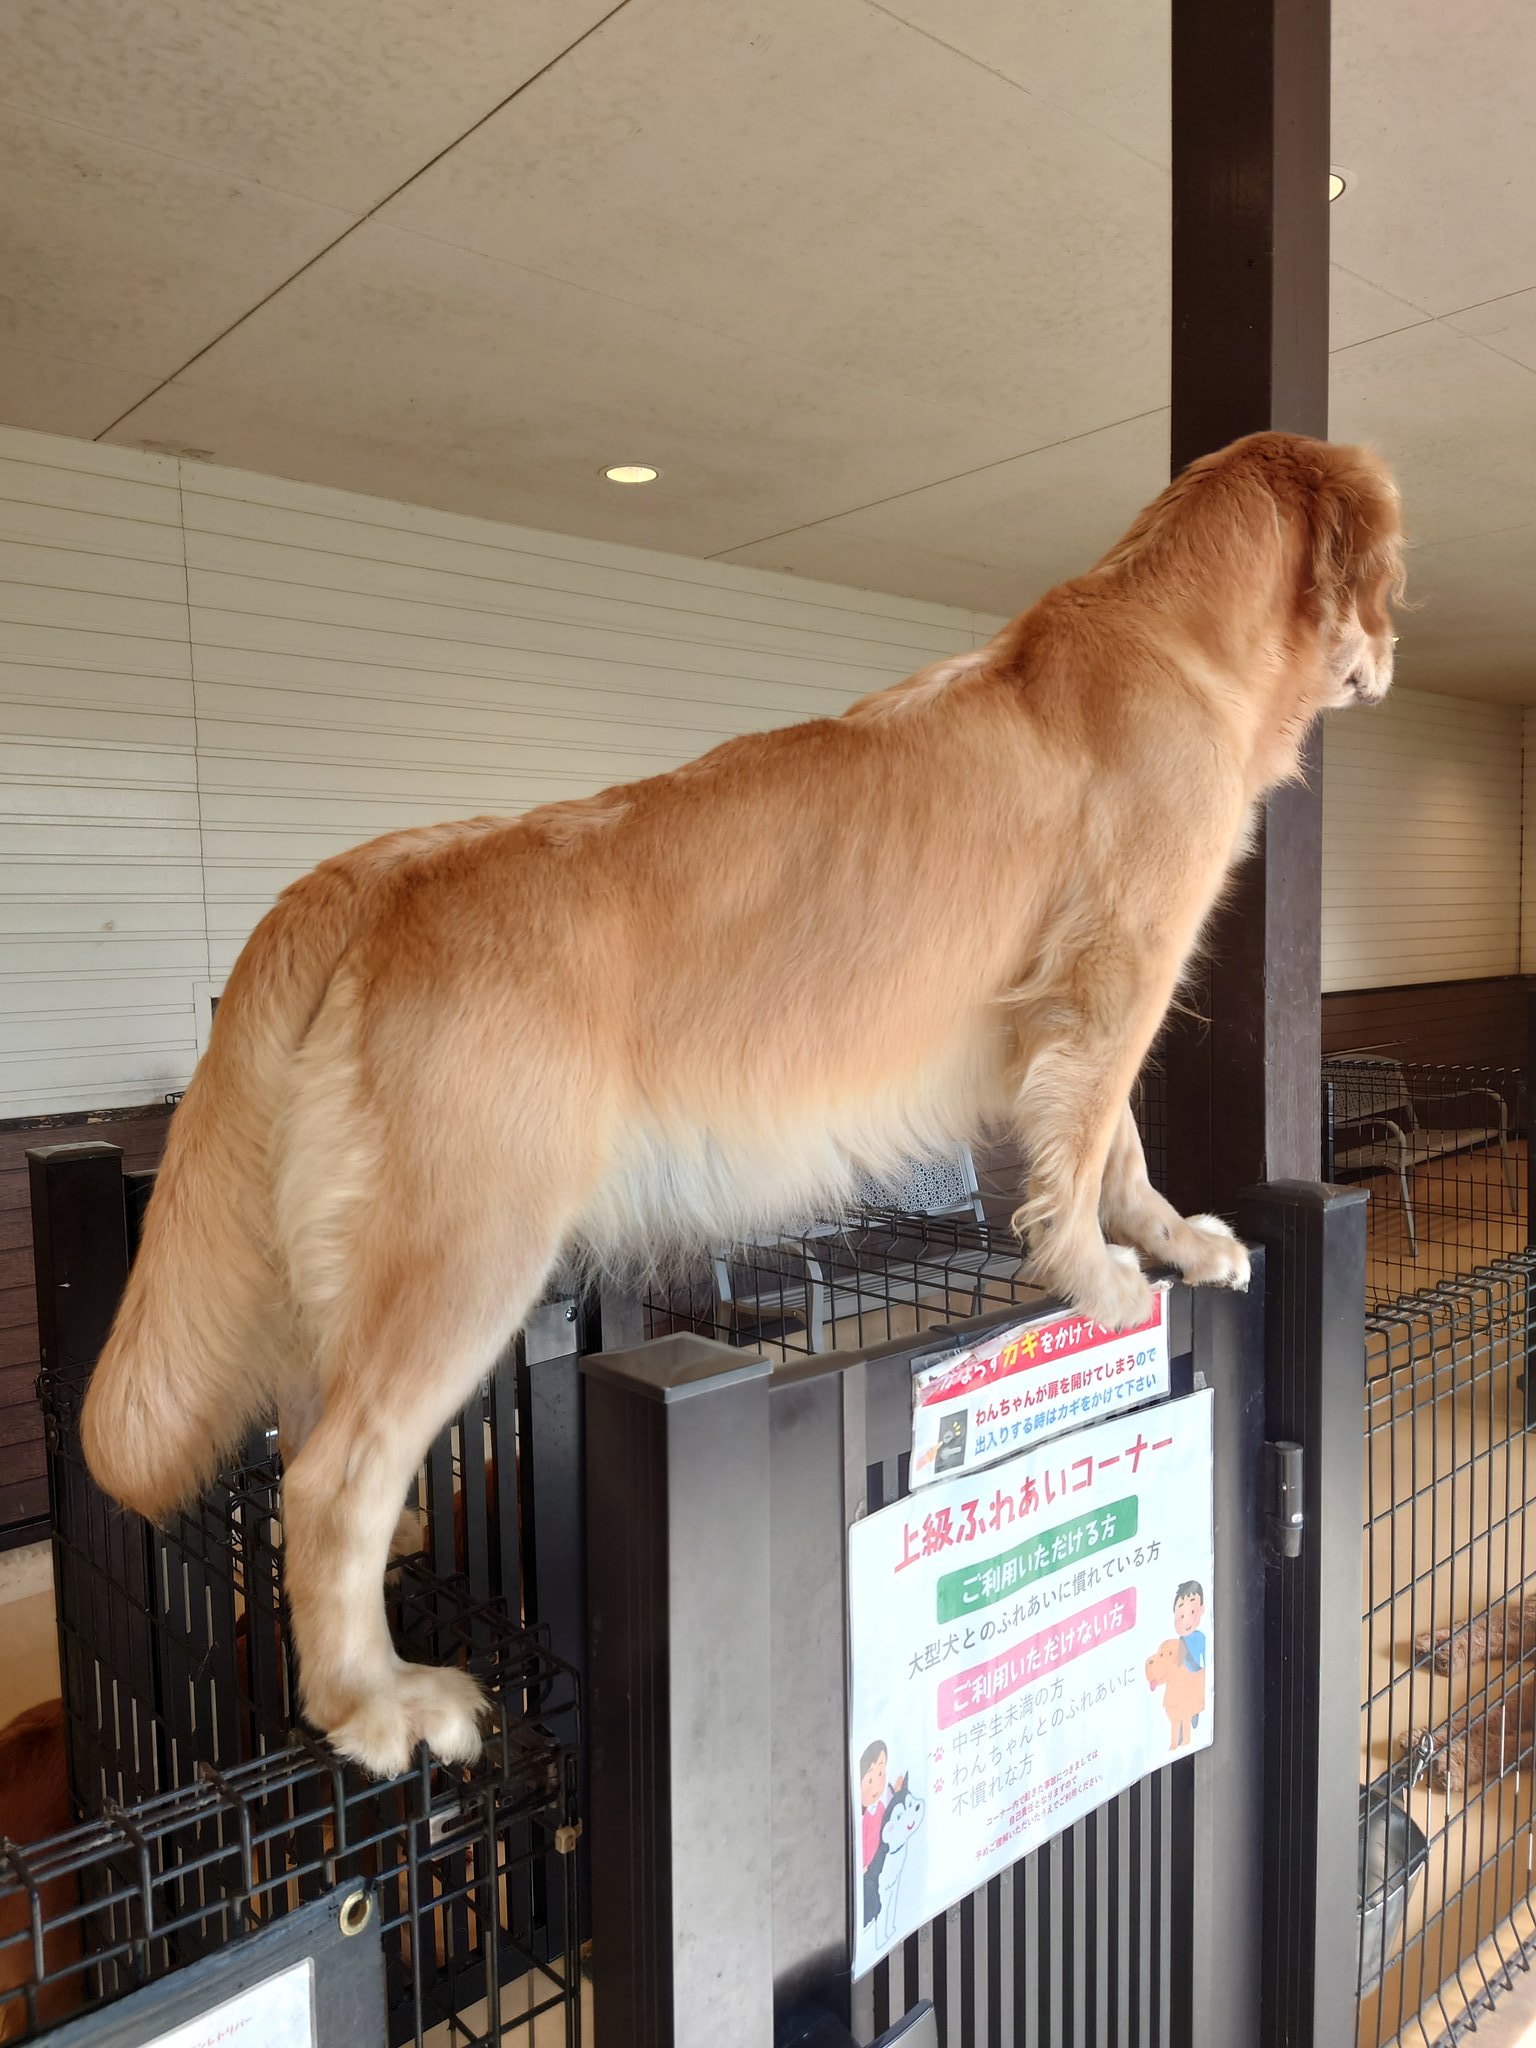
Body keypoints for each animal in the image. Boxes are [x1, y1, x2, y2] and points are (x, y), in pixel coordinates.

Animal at [80, 430, 1403, 1776]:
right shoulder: (1116, 967)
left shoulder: (1076, 1000)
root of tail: (379, 870)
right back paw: (377, 1698)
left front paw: (1173, 1234)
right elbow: (1085, 1138)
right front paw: (1100, 1273)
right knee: (332, 1476)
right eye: (1393, 582)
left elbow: (1116, 1141)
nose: (1398, 650)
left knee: (306, 1443)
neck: (1170, 633)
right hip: (467, 1249)